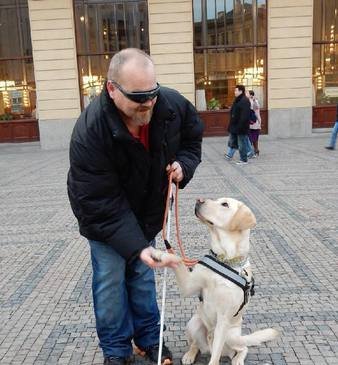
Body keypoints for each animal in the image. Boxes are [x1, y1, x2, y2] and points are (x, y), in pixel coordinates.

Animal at [170, 198, 278, 364]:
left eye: (225, 204)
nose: (199, 199)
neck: (225, 259)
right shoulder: (188, 286)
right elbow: (178, 264)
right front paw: (161, 254)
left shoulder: (224, 318)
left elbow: (215, 358)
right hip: (194, 323)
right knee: (196, 344)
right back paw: (190, 354)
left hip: (231, 335)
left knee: (241, 348)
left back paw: (238, 359)